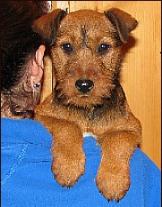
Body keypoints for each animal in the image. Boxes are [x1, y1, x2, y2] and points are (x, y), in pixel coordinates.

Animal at [33, 8, 142, 201]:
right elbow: (68, 126)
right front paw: (68, 166)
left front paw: (113, 181)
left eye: (103, 47)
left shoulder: (131, 128)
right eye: (67, 47)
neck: (88, 109)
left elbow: (117, 140)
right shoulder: (42, 114)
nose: (84, 84)